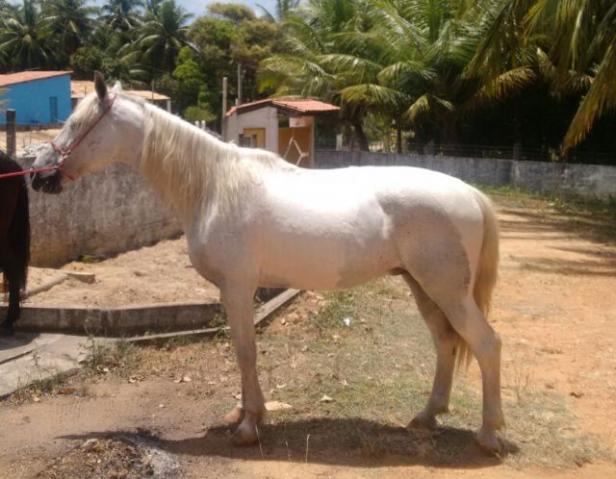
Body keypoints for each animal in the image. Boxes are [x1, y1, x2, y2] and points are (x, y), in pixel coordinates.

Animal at [33, 74, 502, 454]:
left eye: (76, 123)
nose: (39, 175)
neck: (214, 187)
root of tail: (470, 193)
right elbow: (243, 352)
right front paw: (247, 416)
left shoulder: (238, 288)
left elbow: (245, 351)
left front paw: (248, 427)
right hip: (423, 287)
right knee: (445, 343)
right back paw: (426, 417)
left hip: (447, 291)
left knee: (485, 344)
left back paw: (489, 435)